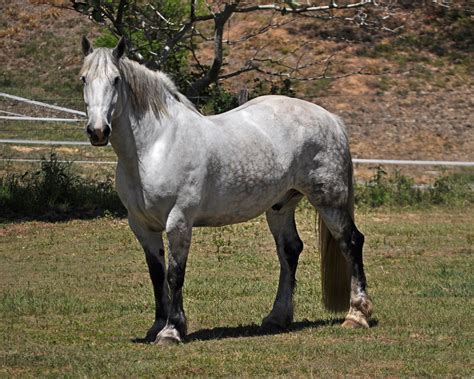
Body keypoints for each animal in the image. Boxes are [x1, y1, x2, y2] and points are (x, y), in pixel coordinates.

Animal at [80, 37, 370, 346]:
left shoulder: (178, 221)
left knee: (351, 242)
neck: (157, 145)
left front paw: (171, 331)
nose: (98, 131)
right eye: (83, 78)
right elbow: (156, 275)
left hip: (329, 201)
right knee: (290, 250)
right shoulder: (141, 225)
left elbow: (175, 274)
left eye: (116, 79)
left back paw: (357, 316)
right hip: (280, 206)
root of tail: (332, 119)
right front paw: (157, 326)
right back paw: (277, 317)